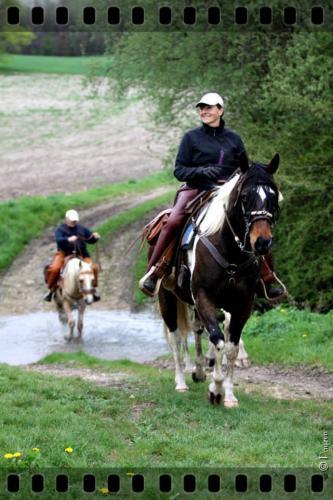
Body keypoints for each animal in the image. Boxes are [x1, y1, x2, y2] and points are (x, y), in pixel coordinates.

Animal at [158, 152, 280, 406]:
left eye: (273, 196)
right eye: (245, 197)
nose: (262, 242)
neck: (230, 251)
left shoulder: (242, 305)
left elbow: (230, 347)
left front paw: (229, 394)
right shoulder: (205, 298)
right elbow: (217, 339)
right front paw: (216, 389)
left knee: (196, 330)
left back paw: (199, 370)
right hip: (167, 298)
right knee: (176, 337)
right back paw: (181, 381)